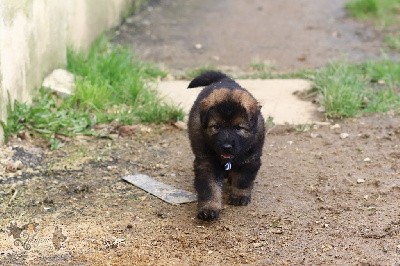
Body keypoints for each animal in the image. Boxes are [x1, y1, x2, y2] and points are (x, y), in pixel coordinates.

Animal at [188, 70, 266, 220]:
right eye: (216, 127)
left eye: (238, 127)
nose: (227, 146)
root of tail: (224, 79)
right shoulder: (207, 163)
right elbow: (210, 187)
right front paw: (209, 208)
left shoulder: (250, 159)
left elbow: (243, 179)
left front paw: (240, 196)